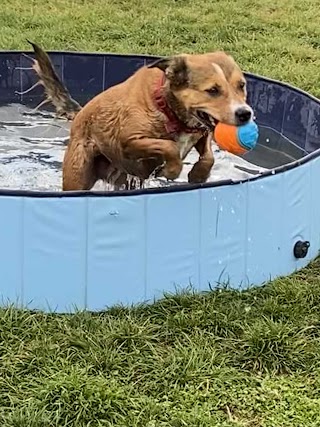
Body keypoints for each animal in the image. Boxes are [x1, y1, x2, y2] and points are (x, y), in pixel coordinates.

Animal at [24, 41, 252, 191]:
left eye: (241, 85)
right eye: (212, 90)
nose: (245, 114)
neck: (167, 108)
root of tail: (80, 113)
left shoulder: (201, 132)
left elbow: (208, 156)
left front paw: (198, 175)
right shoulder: (129, 141)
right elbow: (168, 146)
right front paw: (171, 171)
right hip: (79, 175)